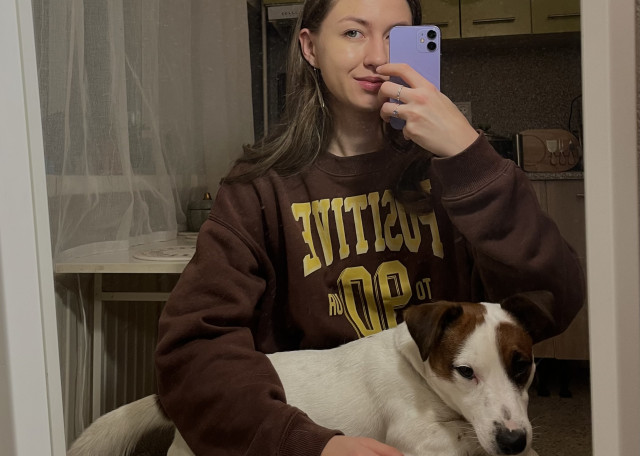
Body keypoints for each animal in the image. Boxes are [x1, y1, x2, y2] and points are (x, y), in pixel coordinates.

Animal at [68, 291, 554, 456]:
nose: (514, 441)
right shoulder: (414, 434)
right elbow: (460, 435)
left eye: (522, 365)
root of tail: (172, 398)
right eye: (465, 371)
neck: (417, 367)